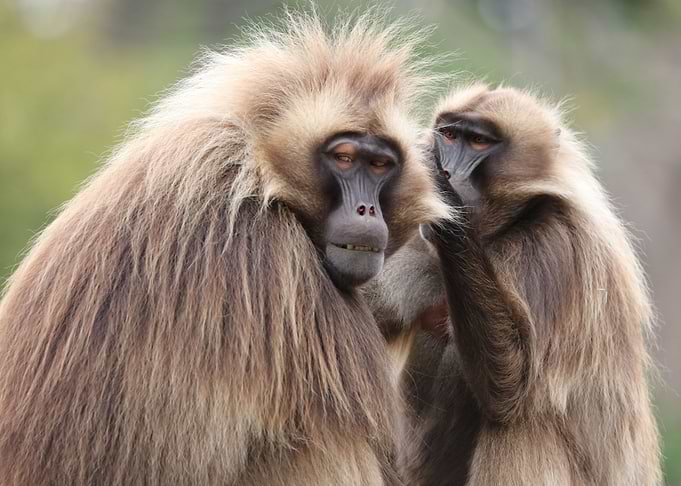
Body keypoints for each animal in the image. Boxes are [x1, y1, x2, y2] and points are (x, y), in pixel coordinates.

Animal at [364, 85, 662, 485]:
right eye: (449, 135)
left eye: (478, 141)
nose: (447, 170)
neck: (497, 234)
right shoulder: (419, 250)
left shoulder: (555, 248)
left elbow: (513, 381)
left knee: (520, 420)